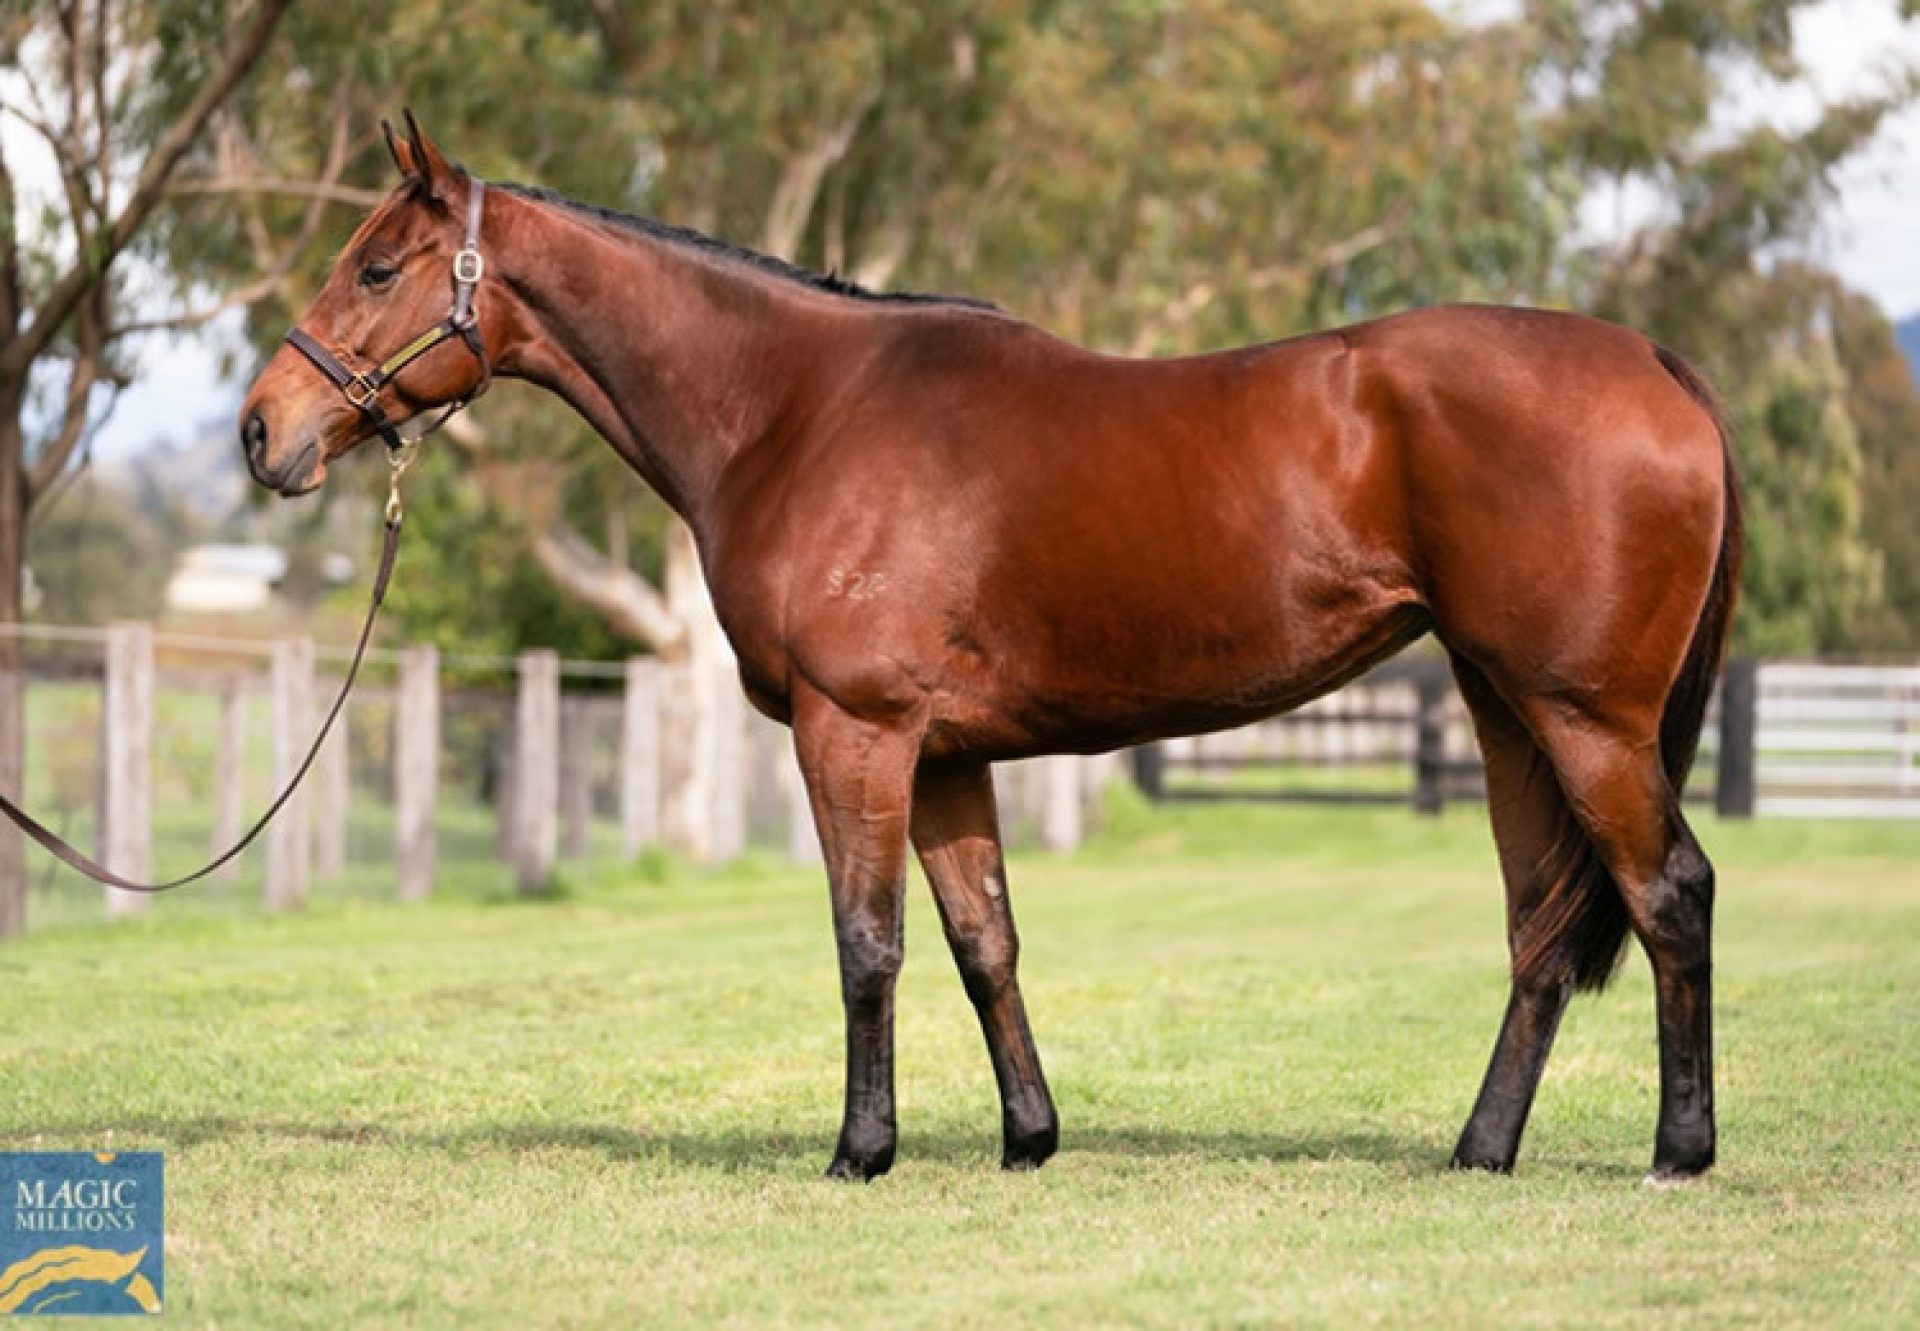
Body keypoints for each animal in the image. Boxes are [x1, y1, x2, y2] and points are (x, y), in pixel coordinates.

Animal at [240, 119, 1743, 1175]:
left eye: (378, 265)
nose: (263, 430)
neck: (795, 408)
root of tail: (1661, 363)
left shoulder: (857, 730)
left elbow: (868, 942)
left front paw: (861, 1148)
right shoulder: (947, 753)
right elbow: (984, 941)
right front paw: (1030, 1135)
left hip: (1585, 716)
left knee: (1669, 891)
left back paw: (1678, 1150)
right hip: (1505, 708)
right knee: (1543, 924)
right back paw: (1481, 1148)